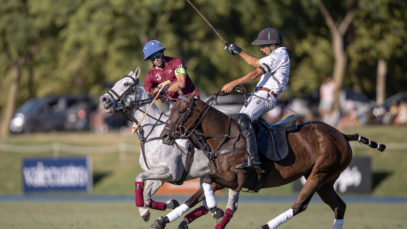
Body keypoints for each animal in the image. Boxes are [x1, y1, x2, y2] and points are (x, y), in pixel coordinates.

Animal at [156, 91, 386, 229]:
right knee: (340, 206)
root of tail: (342, 135)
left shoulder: (234, 179)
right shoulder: (221, 178)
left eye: (182, 111)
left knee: (300, 205)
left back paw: (265, 225)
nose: (165, 136)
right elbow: (194, 196)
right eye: (171, 110)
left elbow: (204, 183)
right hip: (326, 181)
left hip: (320, 174)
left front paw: (215, 210)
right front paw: (163, 219)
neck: (224, 138)